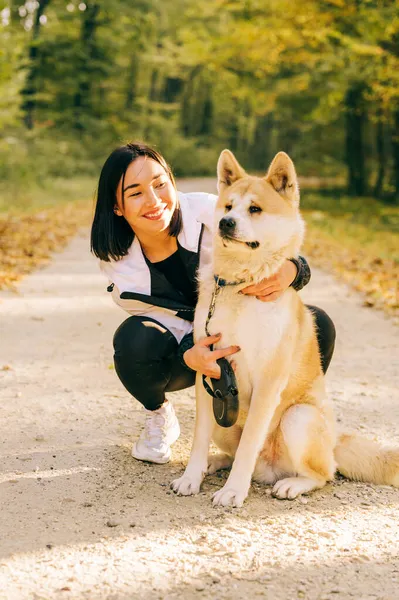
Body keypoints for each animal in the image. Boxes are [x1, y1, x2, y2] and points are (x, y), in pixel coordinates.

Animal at [170, 148, 398, 504]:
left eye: (255, 209)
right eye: (228, 207)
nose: (225, 222)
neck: (241, 285)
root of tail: (335, 442)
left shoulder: (268, 380)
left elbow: (250, 443)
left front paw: (233, 491)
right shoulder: (208, 372)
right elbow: (198, 439)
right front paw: (191, 477)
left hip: (297, 418)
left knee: (324, 473)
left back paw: (291, 484)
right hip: (226, 418)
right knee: (232, 452)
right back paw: (214, 463)